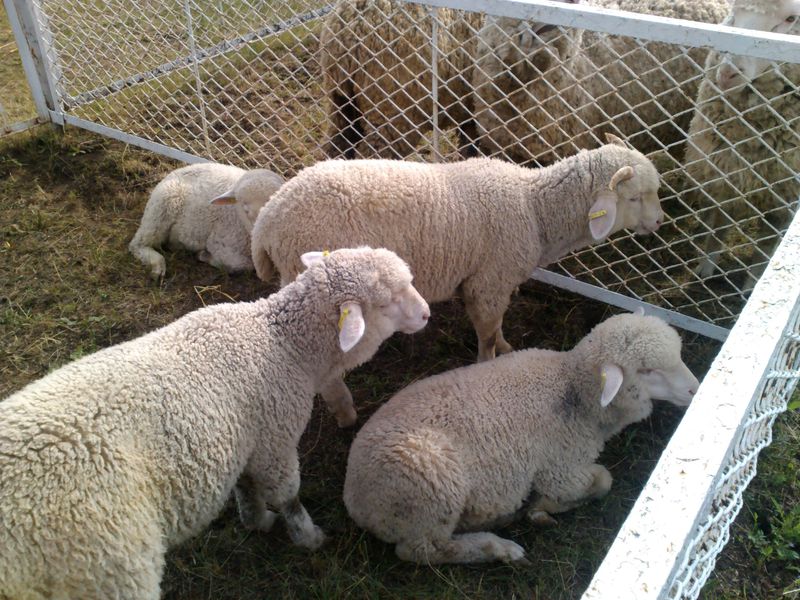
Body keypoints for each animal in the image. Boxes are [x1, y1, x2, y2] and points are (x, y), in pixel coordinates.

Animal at [0, 247, 432, 600]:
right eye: (390, 299)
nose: (427, 313)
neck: (282, 343)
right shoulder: (275, 440)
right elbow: (288, 496)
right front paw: (309, 538)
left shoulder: (246, 440)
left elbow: (245, 488)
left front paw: (256, 522)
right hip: (107, 568)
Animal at [129, 164, 284, 282]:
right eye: (245, 209)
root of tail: (173, 172)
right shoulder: (220, 245)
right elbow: (243, 265)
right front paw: (204, 256)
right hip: (159, 213)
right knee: (137, 244)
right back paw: (157, 266)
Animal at [344, 312, 700, 564]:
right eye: (648, 371)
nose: (695, 390)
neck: (572, 390)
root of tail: (354, 499)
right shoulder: (561, 470)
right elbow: (602, 481)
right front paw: (540, 509)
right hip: (431, 494)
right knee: (421, 552)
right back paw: (498, 547)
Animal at [680, 0, 800, 290]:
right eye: (736, 9)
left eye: (791, 18)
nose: (727, 73)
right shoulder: (725, 176)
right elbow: (719, 228)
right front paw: (705, 266)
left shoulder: (784, 200)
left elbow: (766, 248)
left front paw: (752, 284)